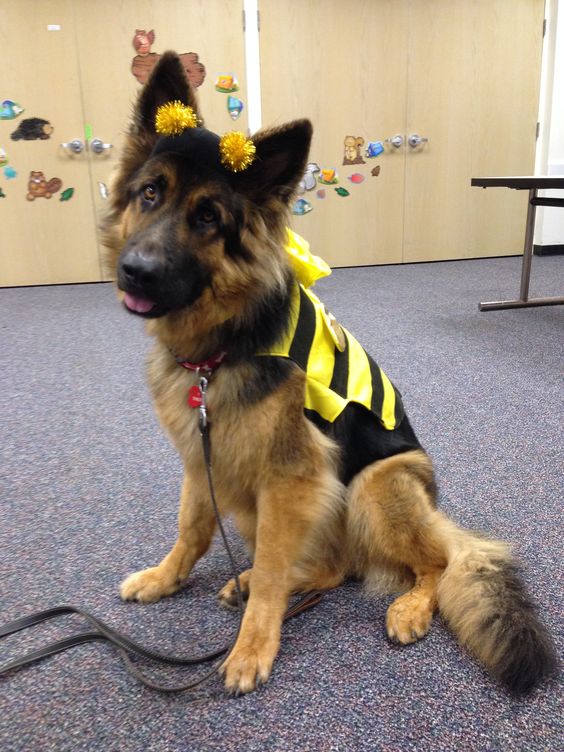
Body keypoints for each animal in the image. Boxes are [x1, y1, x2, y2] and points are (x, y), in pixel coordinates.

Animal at [101, 53, 556, 696]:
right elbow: (191, 527)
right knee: (334, 569)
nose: (135, 272)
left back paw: (407, 605)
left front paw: (253, 646)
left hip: (374, 484)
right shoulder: (203, 453)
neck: (226, 341)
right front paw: (166, 579)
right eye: (149, 193)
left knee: (432, 565)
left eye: (209, 217)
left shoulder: (289, 479)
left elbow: (271, 567)